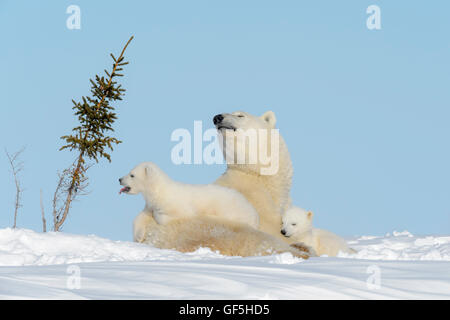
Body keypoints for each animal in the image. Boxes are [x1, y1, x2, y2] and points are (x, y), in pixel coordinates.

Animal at [119, 162, 258, 232]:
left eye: (132, 175)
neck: (159, 191)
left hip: (230, 208)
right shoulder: (151, 203)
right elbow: (140, 216)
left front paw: (158, 216)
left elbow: (182, 214)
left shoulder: (176, 204)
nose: (119, 179)